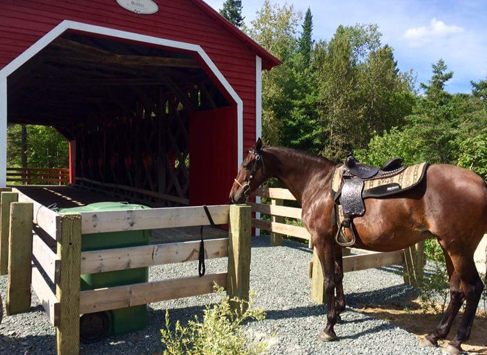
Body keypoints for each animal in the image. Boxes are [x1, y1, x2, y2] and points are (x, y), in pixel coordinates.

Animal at [231, 139, 486, 355]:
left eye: (247, 164)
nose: (233, 195)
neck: (318, 184)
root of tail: (482, 184)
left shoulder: (322, 241)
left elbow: (329, 280)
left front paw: (329, 327)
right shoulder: (335, 243)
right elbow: (339, 276)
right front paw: (339, 313)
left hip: (459, 250)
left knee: (473, 289)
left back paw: (455, 342)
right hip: (449, 249)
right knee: (456, 291)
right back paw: (435, 335)